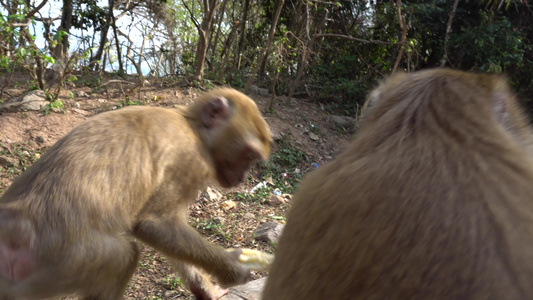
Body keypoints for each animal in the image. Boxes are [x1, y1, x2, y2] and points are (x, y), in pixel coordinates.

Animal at [0, 88, 270, 298]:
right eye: (248, 155)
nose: (242, 177)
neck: (192, 125)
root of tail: (13, 230)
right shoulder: (191, 162)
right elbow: (154, 224)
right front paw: (233, 268)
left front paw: (207, 290)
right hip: (63, 263)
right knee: (122, 257)